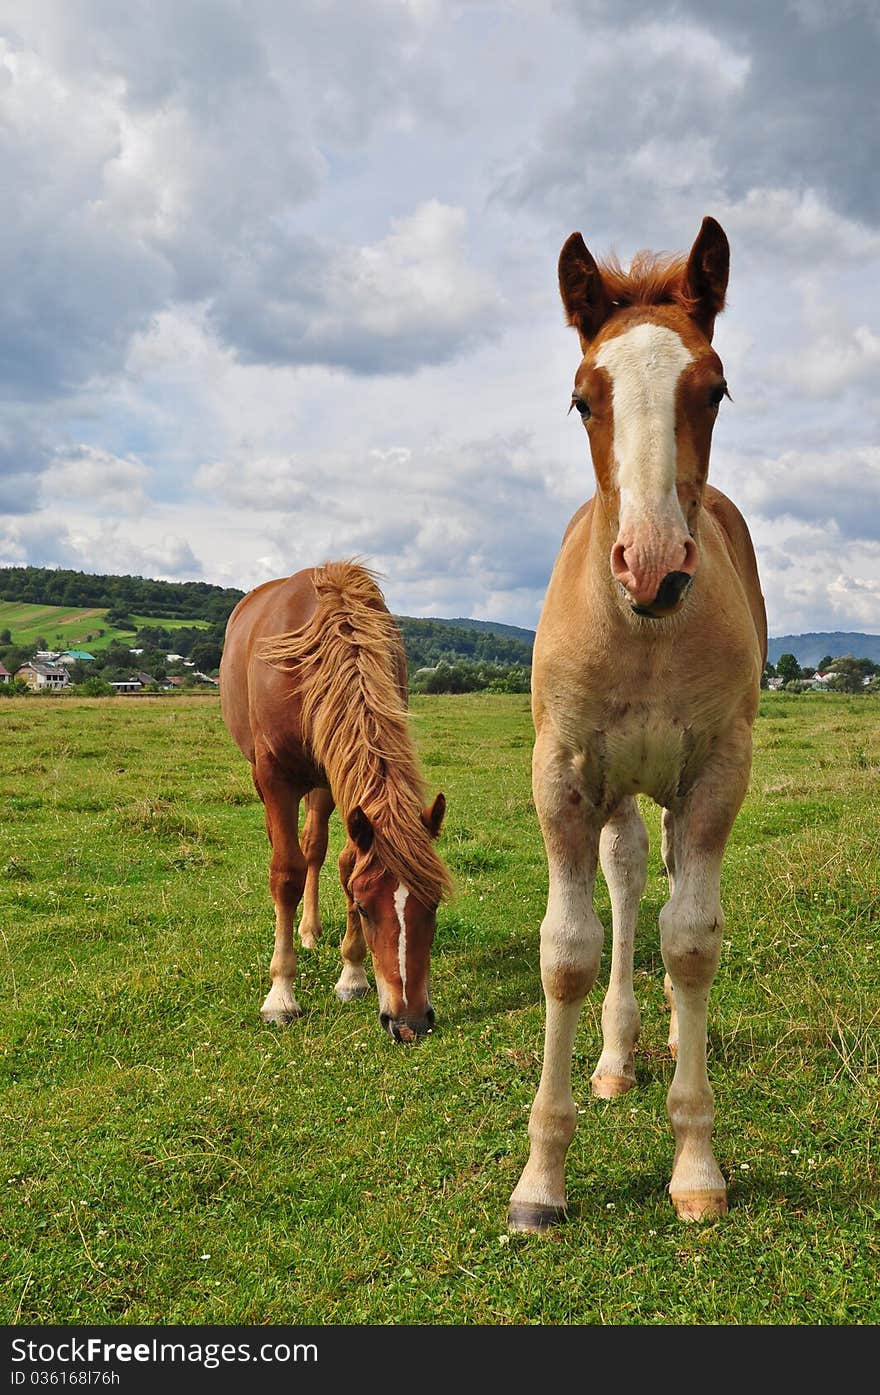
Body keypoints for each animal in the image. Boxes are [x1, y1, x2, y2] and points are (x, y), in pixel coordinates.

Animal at [220, 560, 454, 1043]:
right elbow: (285, 874)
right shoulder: (275, 778)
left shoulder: (337, 775)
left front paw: (352, 975)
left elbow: (345, 862)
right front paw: (281, 995)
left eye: (435, 903)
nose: (409, 1023)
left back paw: (310, 930)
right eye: (365, 908)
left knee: (313, 846)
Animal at [504, 217, 769, 1233]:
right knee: (620, 883)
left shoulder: (717, 775)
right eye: (584, 398)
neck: (648, 633)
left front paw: (696, 1164)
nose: (653, 566)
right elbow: (568, 953)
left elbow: (690, 940)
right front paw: (540, 1181)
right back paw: (614, 1058)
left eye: (716, 388)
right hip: (614, 790)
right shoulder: (566, 776)